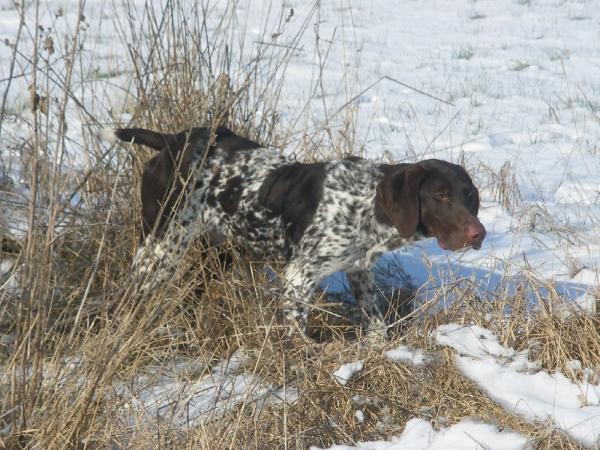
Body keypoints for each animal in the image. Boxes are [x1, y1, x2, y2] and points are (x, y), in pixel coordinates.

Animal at [101, 125, 486, 336]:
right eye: (440, 195)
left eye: (469, 195)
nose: (478, 234)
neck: (366, 204)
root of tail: (170, 141)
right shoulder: (298, 277)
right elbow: (299, 336)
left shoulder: (359, 270)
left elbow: (376, 324)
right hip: (161, 247)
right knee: (125, 297)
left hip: (217, 253)